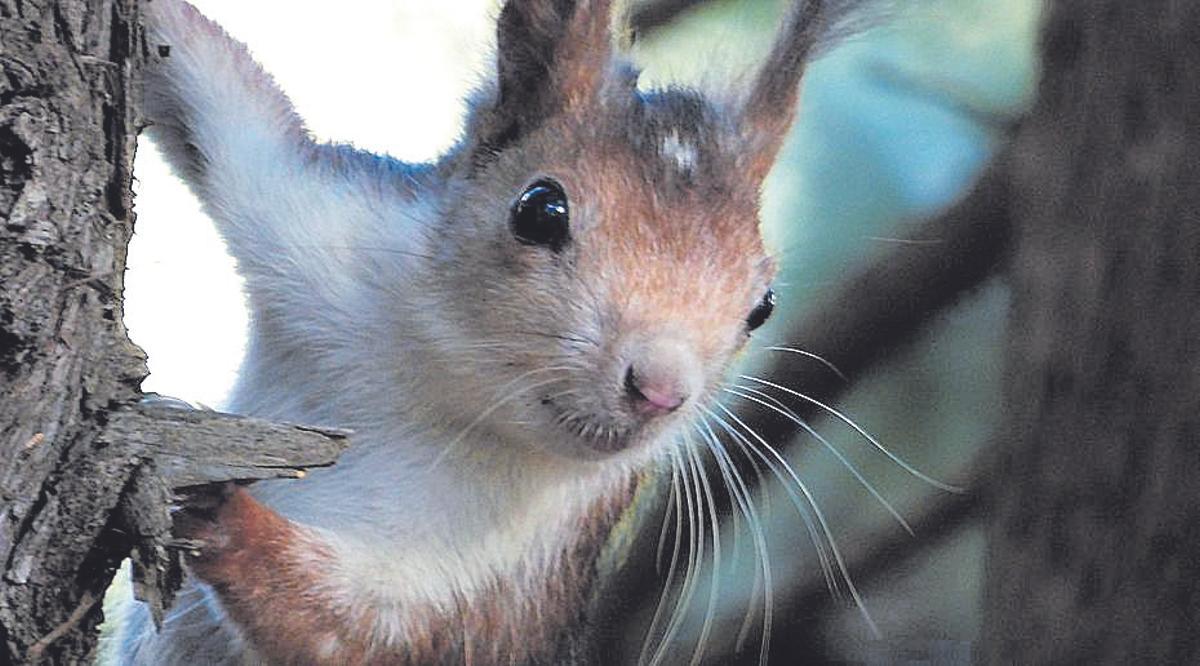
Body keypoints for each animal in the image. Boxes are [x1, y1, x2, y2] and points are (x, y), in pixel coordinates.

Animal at [118, 0, 868, 663]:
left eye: (762, 305)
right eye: (539, 210)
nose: (660, 390)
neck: (443, 382)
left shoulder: (512, 573)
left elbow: (365, 630)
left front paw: (224, 516)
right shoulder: (302, 215)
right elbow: (214, 82)